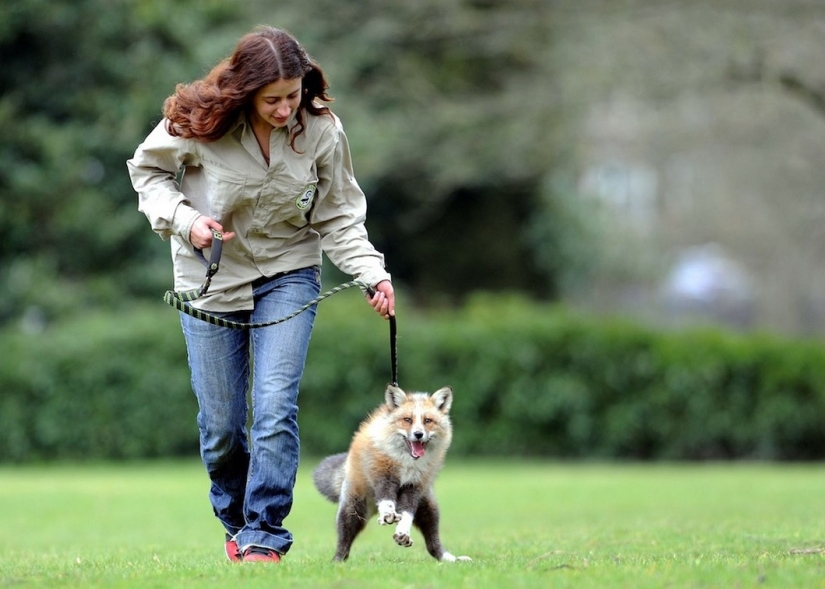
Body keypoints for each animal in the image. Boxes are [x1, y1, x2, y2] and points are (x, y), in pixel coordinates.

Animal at [312, 384, 471, 563]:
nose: (418, 434)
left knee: (433, 543)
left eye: (427, 421)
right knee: (344, 542)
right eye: (407, 420)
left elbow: (406, 515)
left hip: (429, 509)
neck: (406, 462)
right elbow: (387, 501)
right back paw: (337, 561)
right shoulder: (384, 477)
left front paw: (402, 532)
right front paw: (388, 513)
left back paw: (448, 559)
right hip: (352, 510)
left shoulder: (412, 487)